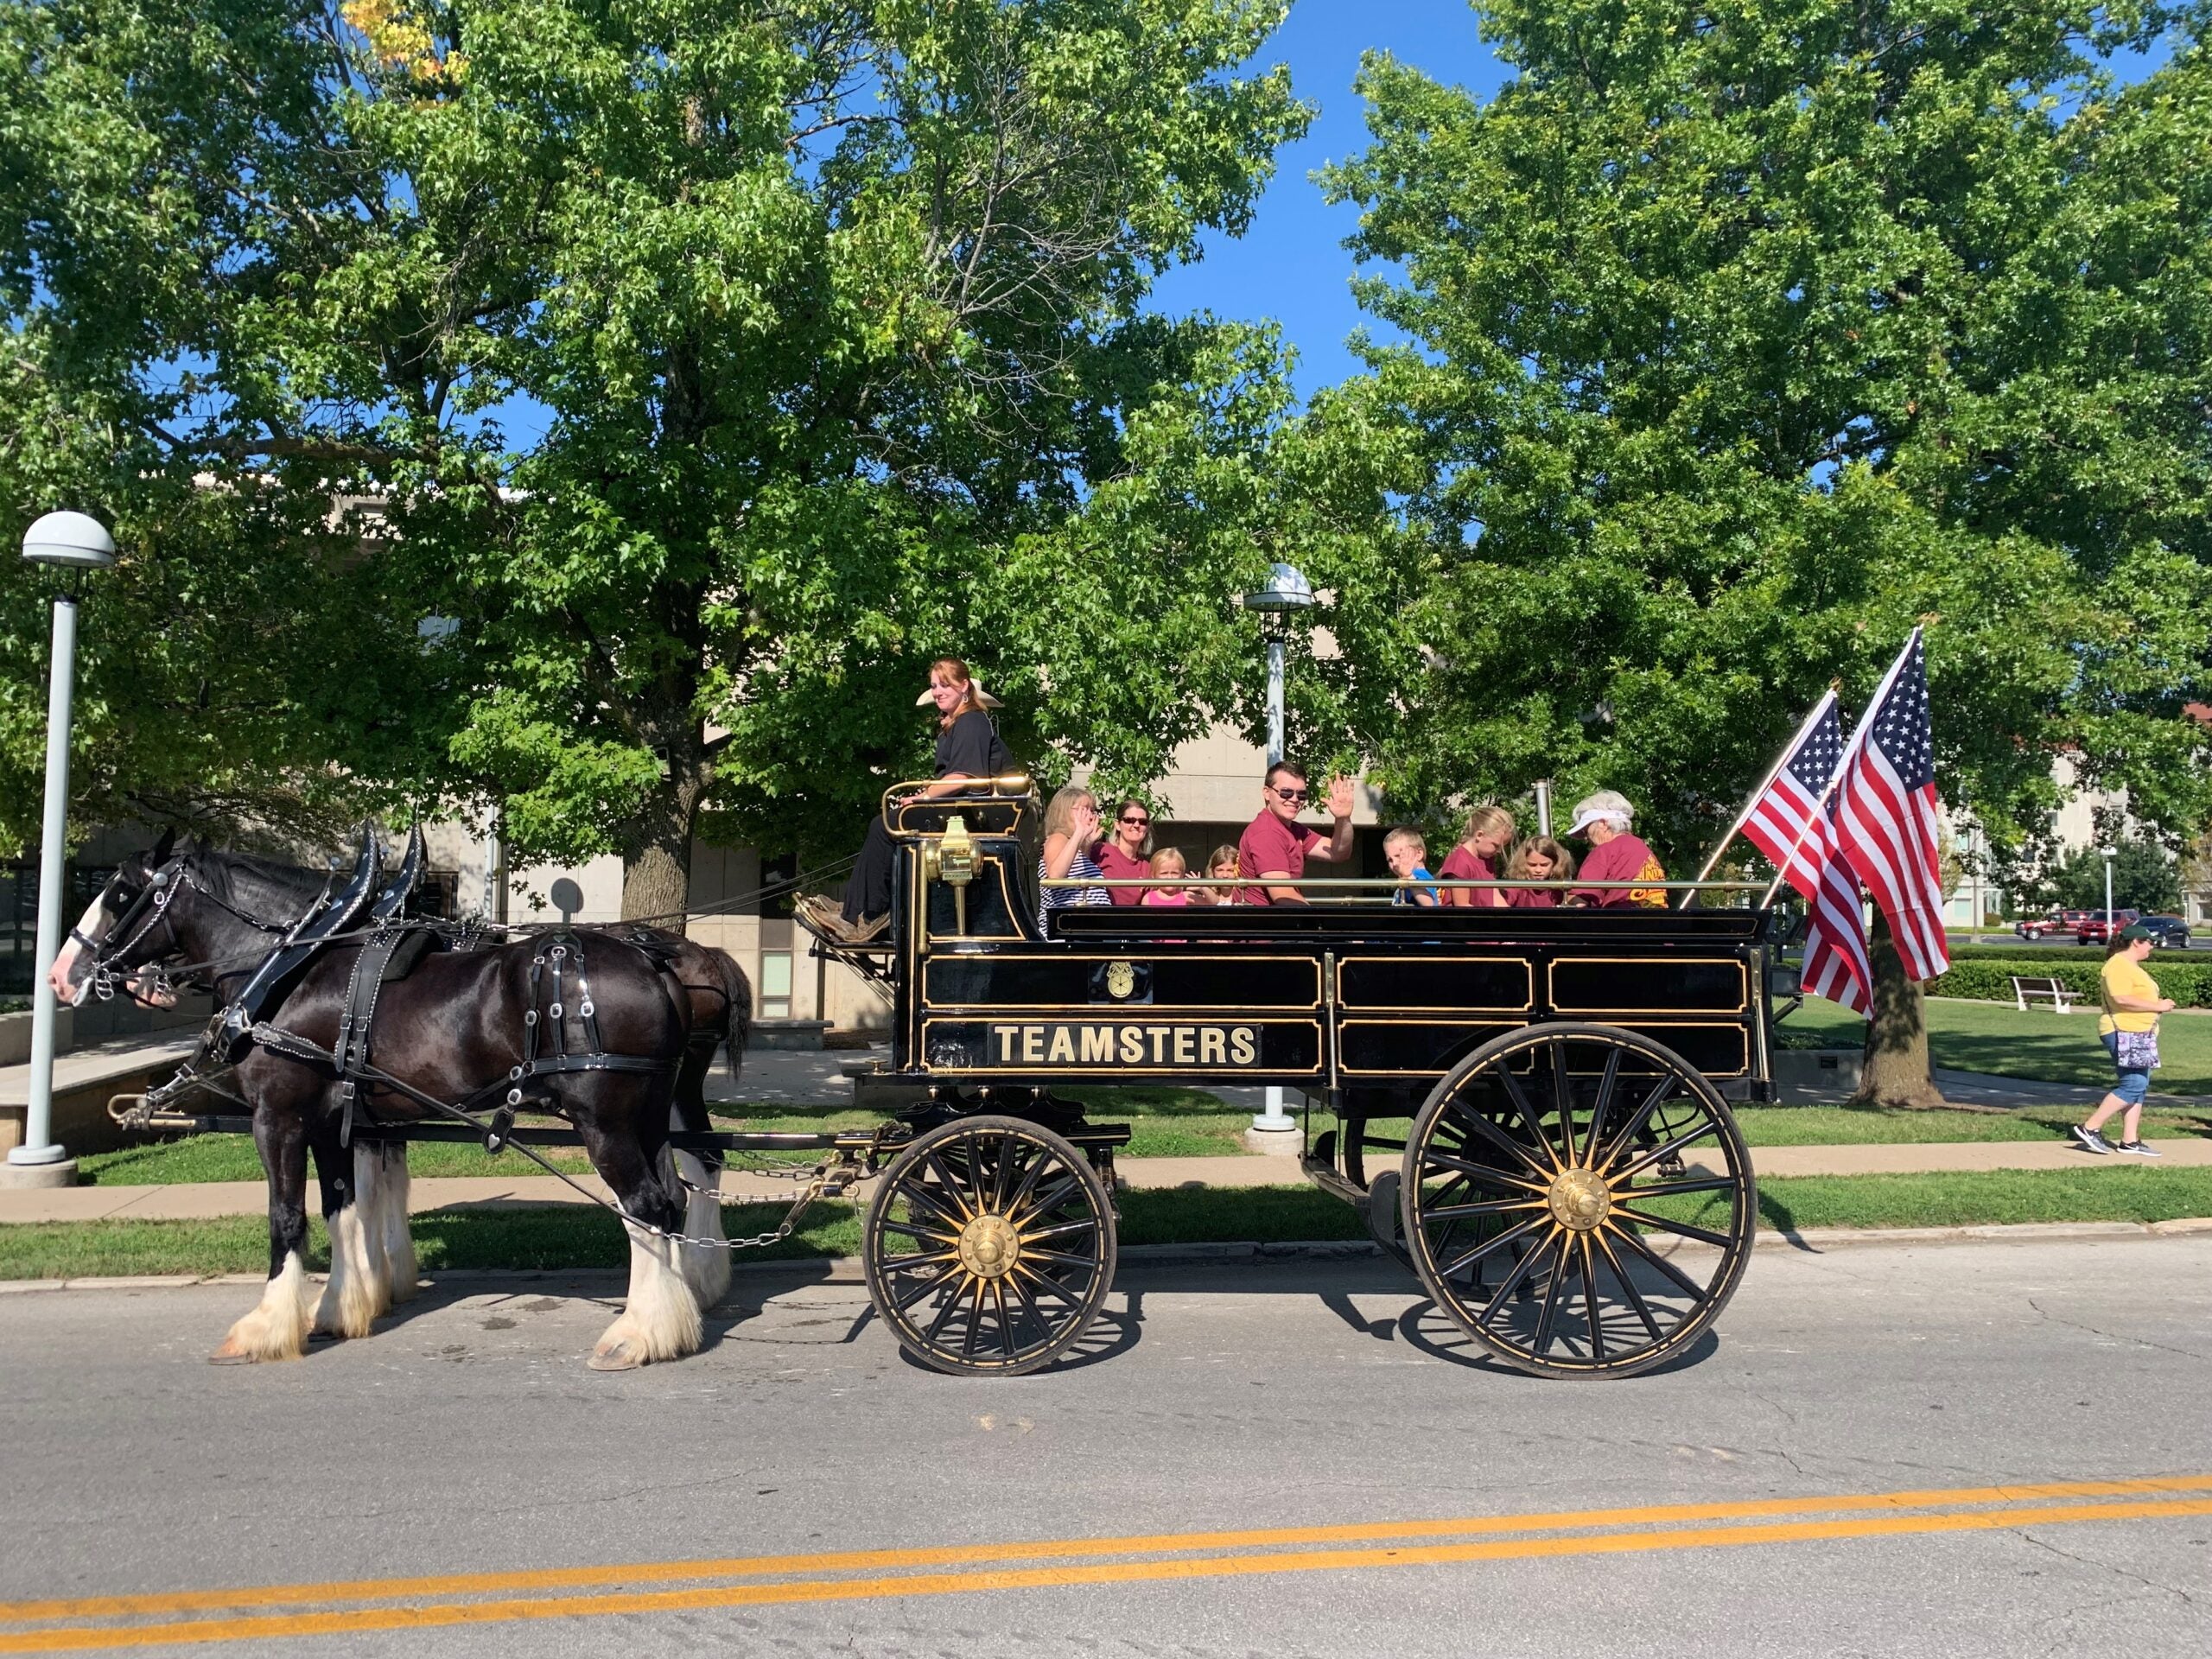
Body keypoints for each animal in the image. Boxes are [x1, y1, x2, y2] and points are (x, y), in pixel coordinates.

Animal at [52, 836, 756, 1371]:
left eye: (120, 892)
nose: (62, 975)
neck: (292, 968)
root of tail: (658, 962)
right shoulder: (338, 1119)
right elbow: (345, 1208)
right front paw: (345, 1306)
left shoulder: (279, 1116)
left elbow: (288, 1217)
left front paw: (266, 1327)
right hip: (651, 1111)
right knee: (685, 1183)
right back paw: (687, 1302)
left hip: (604, 1119)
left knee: (647, 1206)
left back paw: (641, 1333)